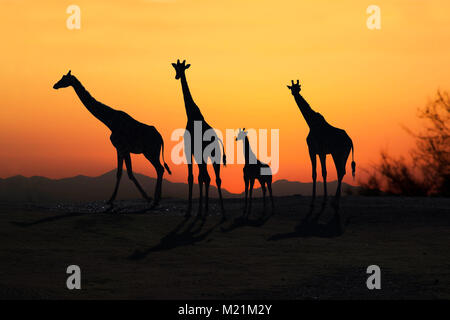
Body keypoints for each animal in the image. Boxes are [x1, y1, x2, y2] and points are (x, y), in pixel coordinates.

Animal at [52, 69, 171, 208]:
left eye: (64, 79)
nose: (55, 85)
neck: (110, 121)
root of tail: (161, 138)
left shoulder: (123, 147)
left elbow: (128, 173)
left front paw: (146, 197)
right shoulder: (120, 149)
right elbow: (121, 173)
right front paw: (111, 200)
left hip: (150, 152)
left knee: (160, 168)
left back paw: (156, 199)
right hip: (151, 152)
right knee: (160, 169)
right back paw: (158, 198)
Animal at [172, 59, 227, 220]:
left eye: (182, 68)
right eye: (176, 68)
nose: (177, 76)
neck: (190, 115)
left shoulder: (189, 149)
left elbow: (193, 177)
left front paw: (190, 211)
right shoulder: (193, 151)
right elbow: (196, 177)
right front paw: (194, 210)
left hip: (213, 155)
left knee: (212, 177)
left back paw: (217, 212)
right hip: (207, 155)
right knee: (209, 177)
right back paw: (209, 211)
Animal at [288, 80, 356, 208]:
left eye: (298, 88)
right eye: (292, 88)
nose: (295, 93)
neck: (311, 123)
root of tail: (350, 140)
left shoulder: (316, 150)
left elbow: (320, 173)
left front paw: (317, 201)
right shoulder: (318, 152)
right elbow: (319, 173)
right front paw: (320, 199)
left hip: (337, 153)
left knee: (340, 171)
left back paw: (335, 201)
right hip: (344, 154)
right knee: (342, 171)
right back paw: (336, 200)